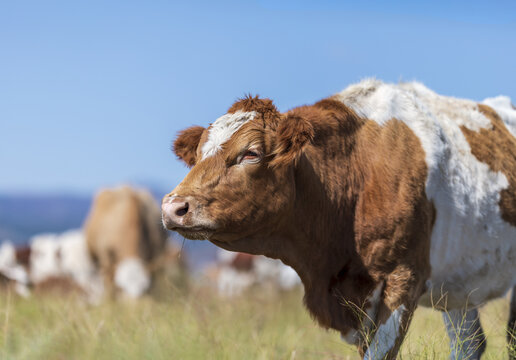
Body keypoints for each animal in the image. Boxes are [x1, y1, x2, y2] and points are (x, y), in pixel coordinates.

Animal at [163, 79, 516, 360]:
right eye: (197, 155)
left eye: (251, 153)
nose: (172, 207)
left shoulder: (403, 279)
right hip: (458, 283)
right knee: (469, 344)